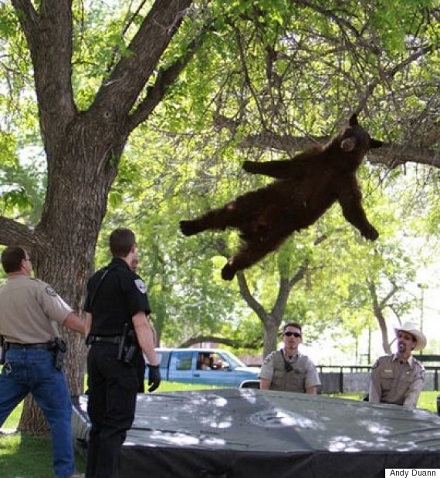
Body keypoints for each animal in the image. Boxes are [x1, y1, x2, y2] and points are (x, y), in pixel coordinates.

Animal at [180, 114, 384, 280]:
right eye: (349, 132)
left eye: (360, 141)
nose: (348, 143)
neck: (336, 163)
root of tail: (251, 228)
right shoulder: (314, 160)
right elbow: (286, 166)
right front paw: (251, 164)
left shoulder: (344, 181)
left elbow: (351, 206)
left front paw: (370, 231)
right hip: (260, 201)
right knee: (225, 213)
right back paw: (190, 225)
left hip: (275, 234)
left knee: (251, 254)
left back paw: (228, 270)